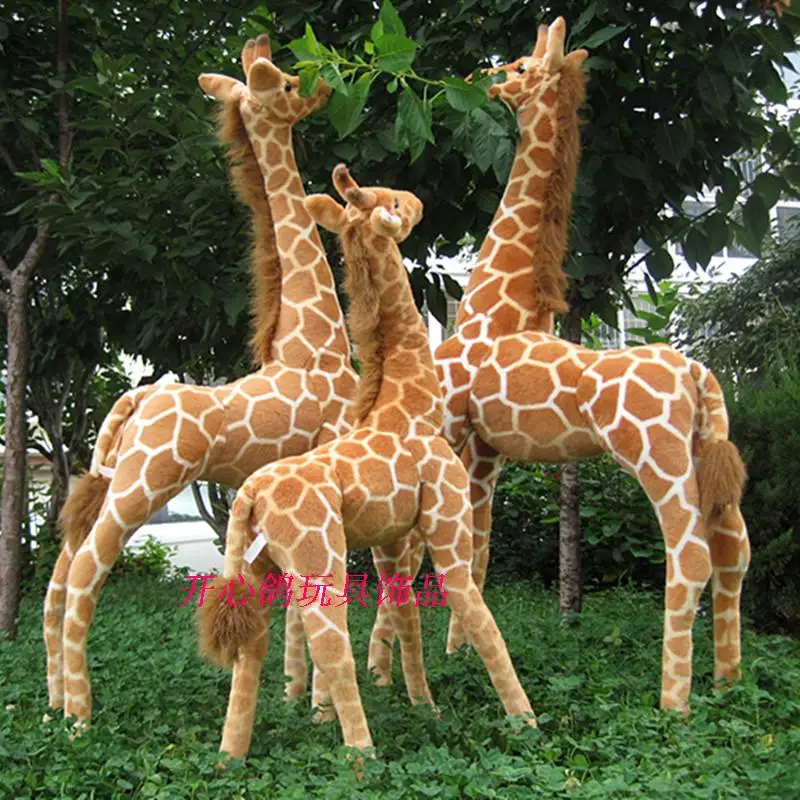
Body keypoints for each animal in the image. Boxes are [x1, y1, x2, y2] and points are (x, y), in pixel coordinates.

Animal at [44, 35, 361, 726]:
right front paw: (320, 707)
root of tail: (136, 397)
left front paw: (295, 697)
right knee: (82, 575)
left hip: (113, 480)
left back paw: (53, 704)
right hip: (143, 486)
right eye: (289, 84)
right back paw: (81, 719)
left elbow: (289, 597)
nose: (326, 88)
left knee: (56, 575)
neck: (311, 337)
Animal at [197, 164, 536, 759]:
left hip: (261, 567)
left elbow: (407, 622)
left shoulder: (392, 542)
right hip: (319, 557)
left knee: (250, 652)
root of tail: (249, 497)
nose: (417, 202)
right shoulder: (447, 524)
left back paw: (228, 761)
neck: (410, 403)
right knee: (332, 649)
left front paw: (427, 708)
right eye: (391, 204)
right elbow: (480, 619)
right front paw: (528, 723)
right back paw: (363, 757)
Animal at [368, 18, 750, 716]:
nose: (483, 80)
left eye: (520, 66)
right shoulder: (486, 448)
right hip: (708, 453)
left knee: (690, 556)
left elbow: (417, 553)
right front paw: (456, 658)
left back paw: (673, 701)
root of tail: (698, 376)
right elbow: (480, 549)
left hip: (656, 456)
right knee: (735, 549)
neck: (498, 305)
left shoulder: (452, 426)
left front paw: (390, 674)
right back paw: (727, 681)